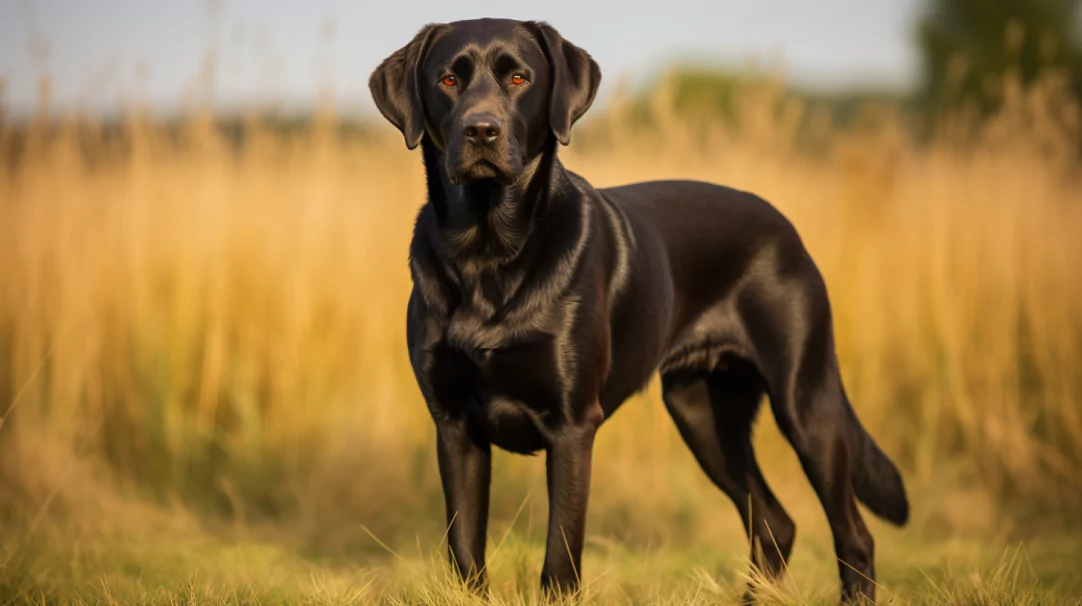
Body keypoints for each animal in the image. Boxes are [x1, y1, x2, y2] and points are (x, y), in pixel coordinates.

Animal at [367, 17, 908, 601]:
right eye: (447, 79)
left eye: (518, 77)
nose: (481, 130)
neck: (488, 253)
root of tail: (786, 227)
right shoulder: (454, 426)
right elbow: (465, 552)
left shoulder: (572, 425)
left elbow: (560, 559)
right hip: (703, 414)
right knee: (774, 522)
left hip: (805, 403)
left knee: (852, 533)